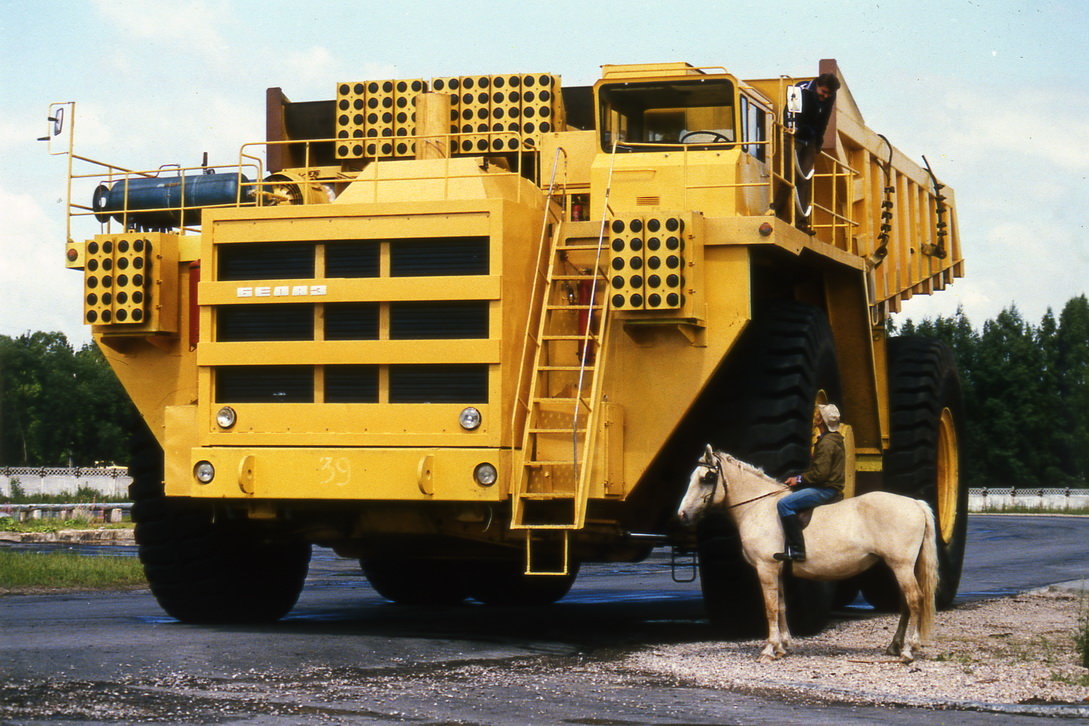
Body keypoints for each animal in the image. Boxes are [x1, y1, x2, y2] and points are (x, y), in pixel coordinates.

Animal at [675, 444, 940, 666]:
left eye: (707, 478)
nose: (682, 515)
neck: (758, 507)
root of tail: (915, 503)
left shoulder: (766, 568)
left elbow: (770, 607)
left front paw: (769, 649)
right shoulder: (777, 569)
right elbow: (781, 605)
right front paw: (782, 646)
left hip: (901, 566)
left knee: (914, 600)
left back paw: (908, 650)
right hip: (901, 567)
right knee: (906, 603)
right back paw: (896, 646)